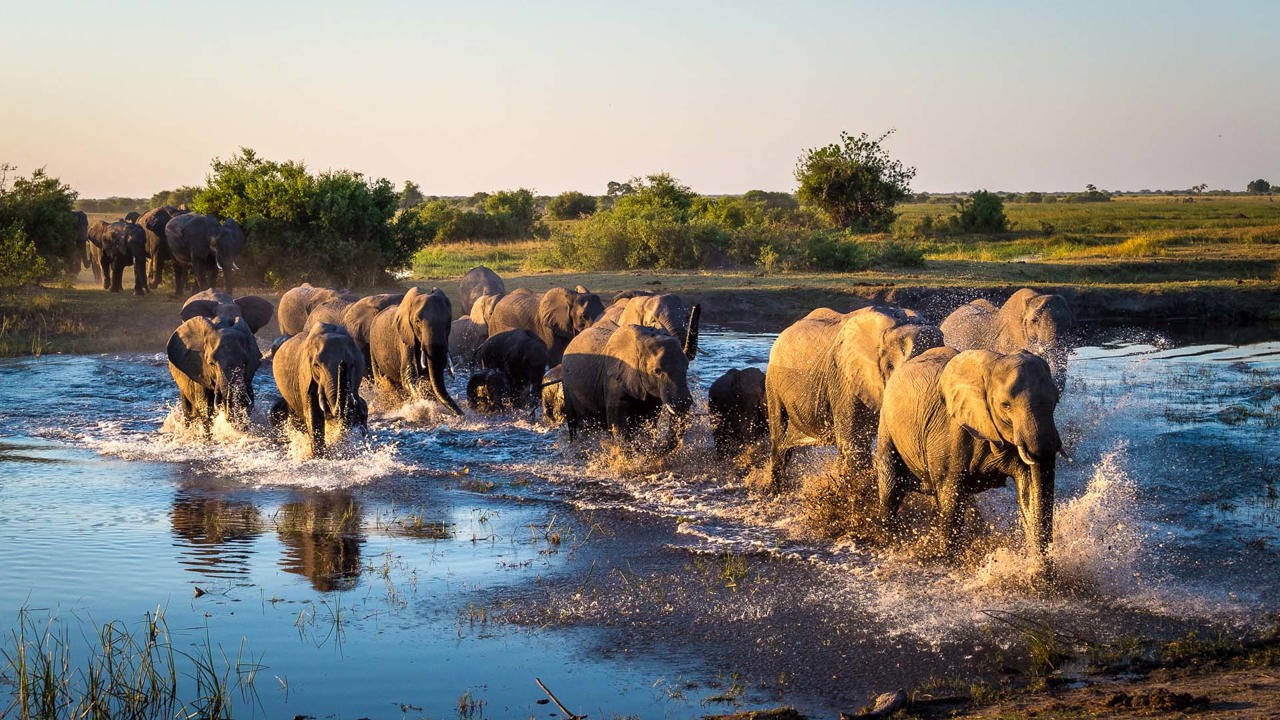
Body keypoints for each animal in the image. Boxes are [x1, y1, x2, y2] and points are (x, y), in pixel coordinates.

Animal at [270, 322, 368, 457]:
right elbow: (313, 413)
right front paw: (320, 456)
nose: (342, 363)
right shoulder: (305, 375)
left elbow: (349, 410)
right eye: (316, 366)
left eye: (352, 365)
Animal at [561, 322, 694, 448]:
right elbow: (618, 426)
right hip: (567, 387)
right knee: (573, 424)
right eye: (657, 371)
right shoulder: (614, 380)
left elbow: (650, 420)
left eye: (687, 367)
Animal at [765, 305, 943, 492]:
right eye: (890, 367)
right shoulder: (844, 378)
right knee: (779, 436)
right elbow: (854, 444)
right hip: (773, 382)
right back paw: (774, 491)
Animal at [876, 348, 1062, 562]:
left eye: (1056, 400)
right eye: (1005, 405)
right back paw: (889, 541)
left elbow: (1028, 488)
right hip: (887, 426)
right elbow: (952, 497)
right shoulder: (952, 431)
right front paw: (947, 558)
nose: (1042, 564)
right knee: (891, 486)